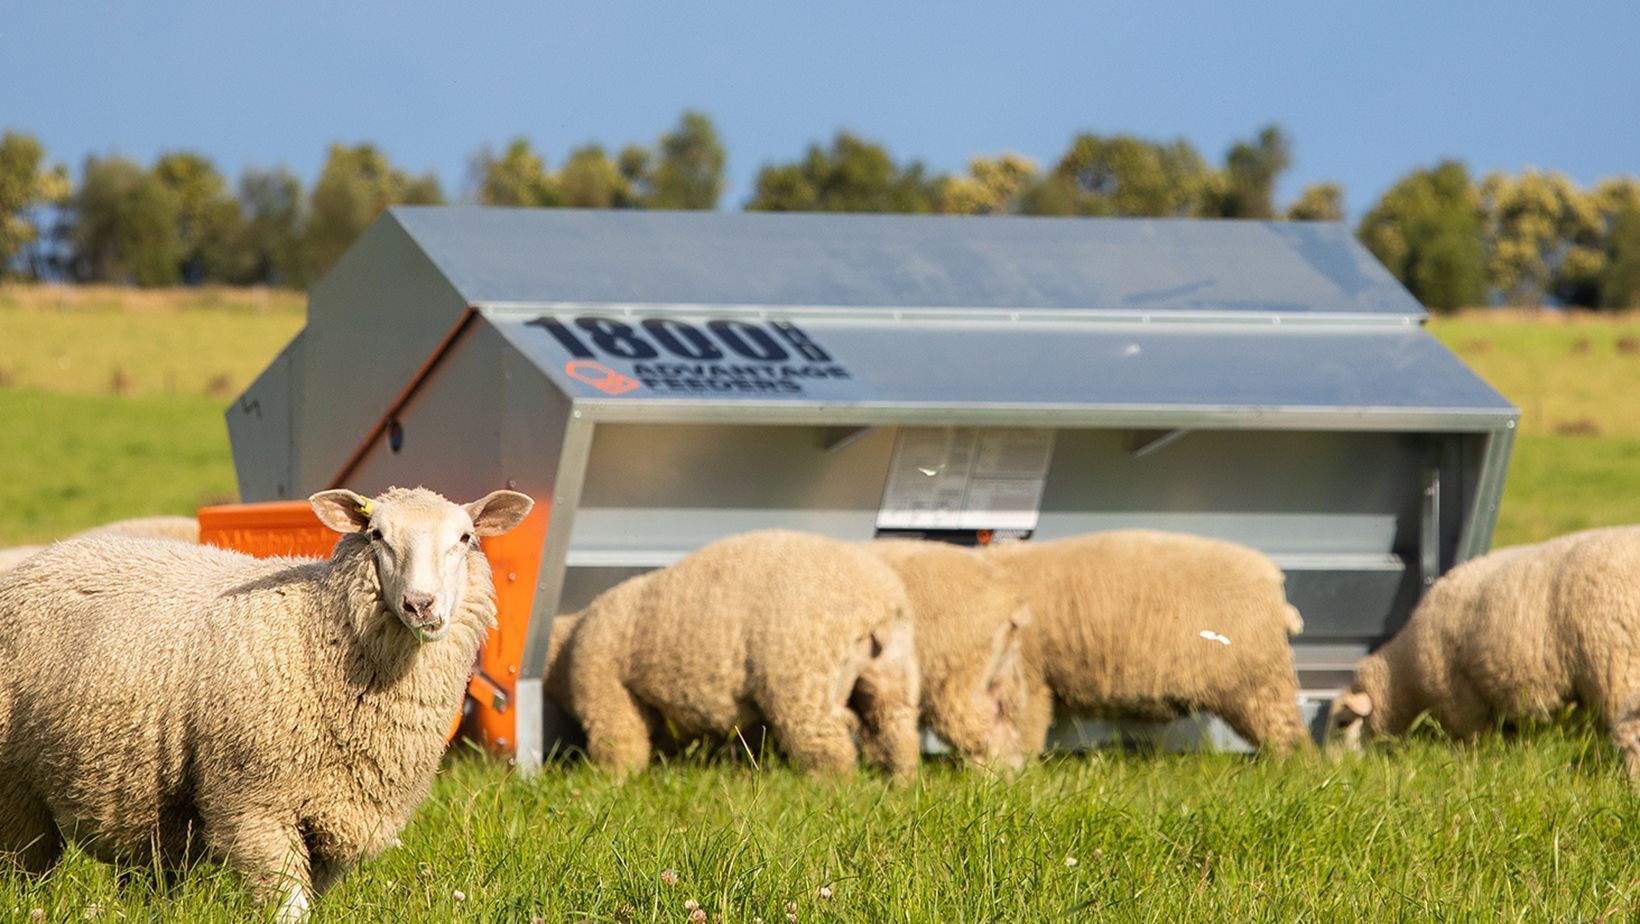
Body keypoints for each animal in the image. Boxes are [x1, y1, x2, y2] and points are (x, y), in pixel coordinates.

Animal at [0, 486, 533, 922]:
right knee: (23, 871)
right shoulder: (254, 806)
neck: (321, 633)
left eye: (465, 537)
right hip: (16, 791)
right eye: (377, 534)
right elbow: (288, 907)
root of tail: (50, 553)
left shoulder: (333, 825)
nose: (420, 605)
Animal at [559, 529, 921, 780]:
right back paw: (899, 782)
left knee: (829, 745)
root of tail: (877, 600)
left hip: (803, 676)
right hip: (893, 667)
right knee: (895, 727)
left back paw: (829, 789)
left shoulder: (605, 684)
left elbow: (619, 741)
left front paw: (611, 781)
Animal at [1327, 526, 1640, 775]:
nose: (1333, 766)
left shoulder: (1459, 697)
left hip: (1620, 666)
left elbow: (1474, 739)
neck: (1402, 675)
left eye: (1342, 723)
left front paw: (1475, 761)